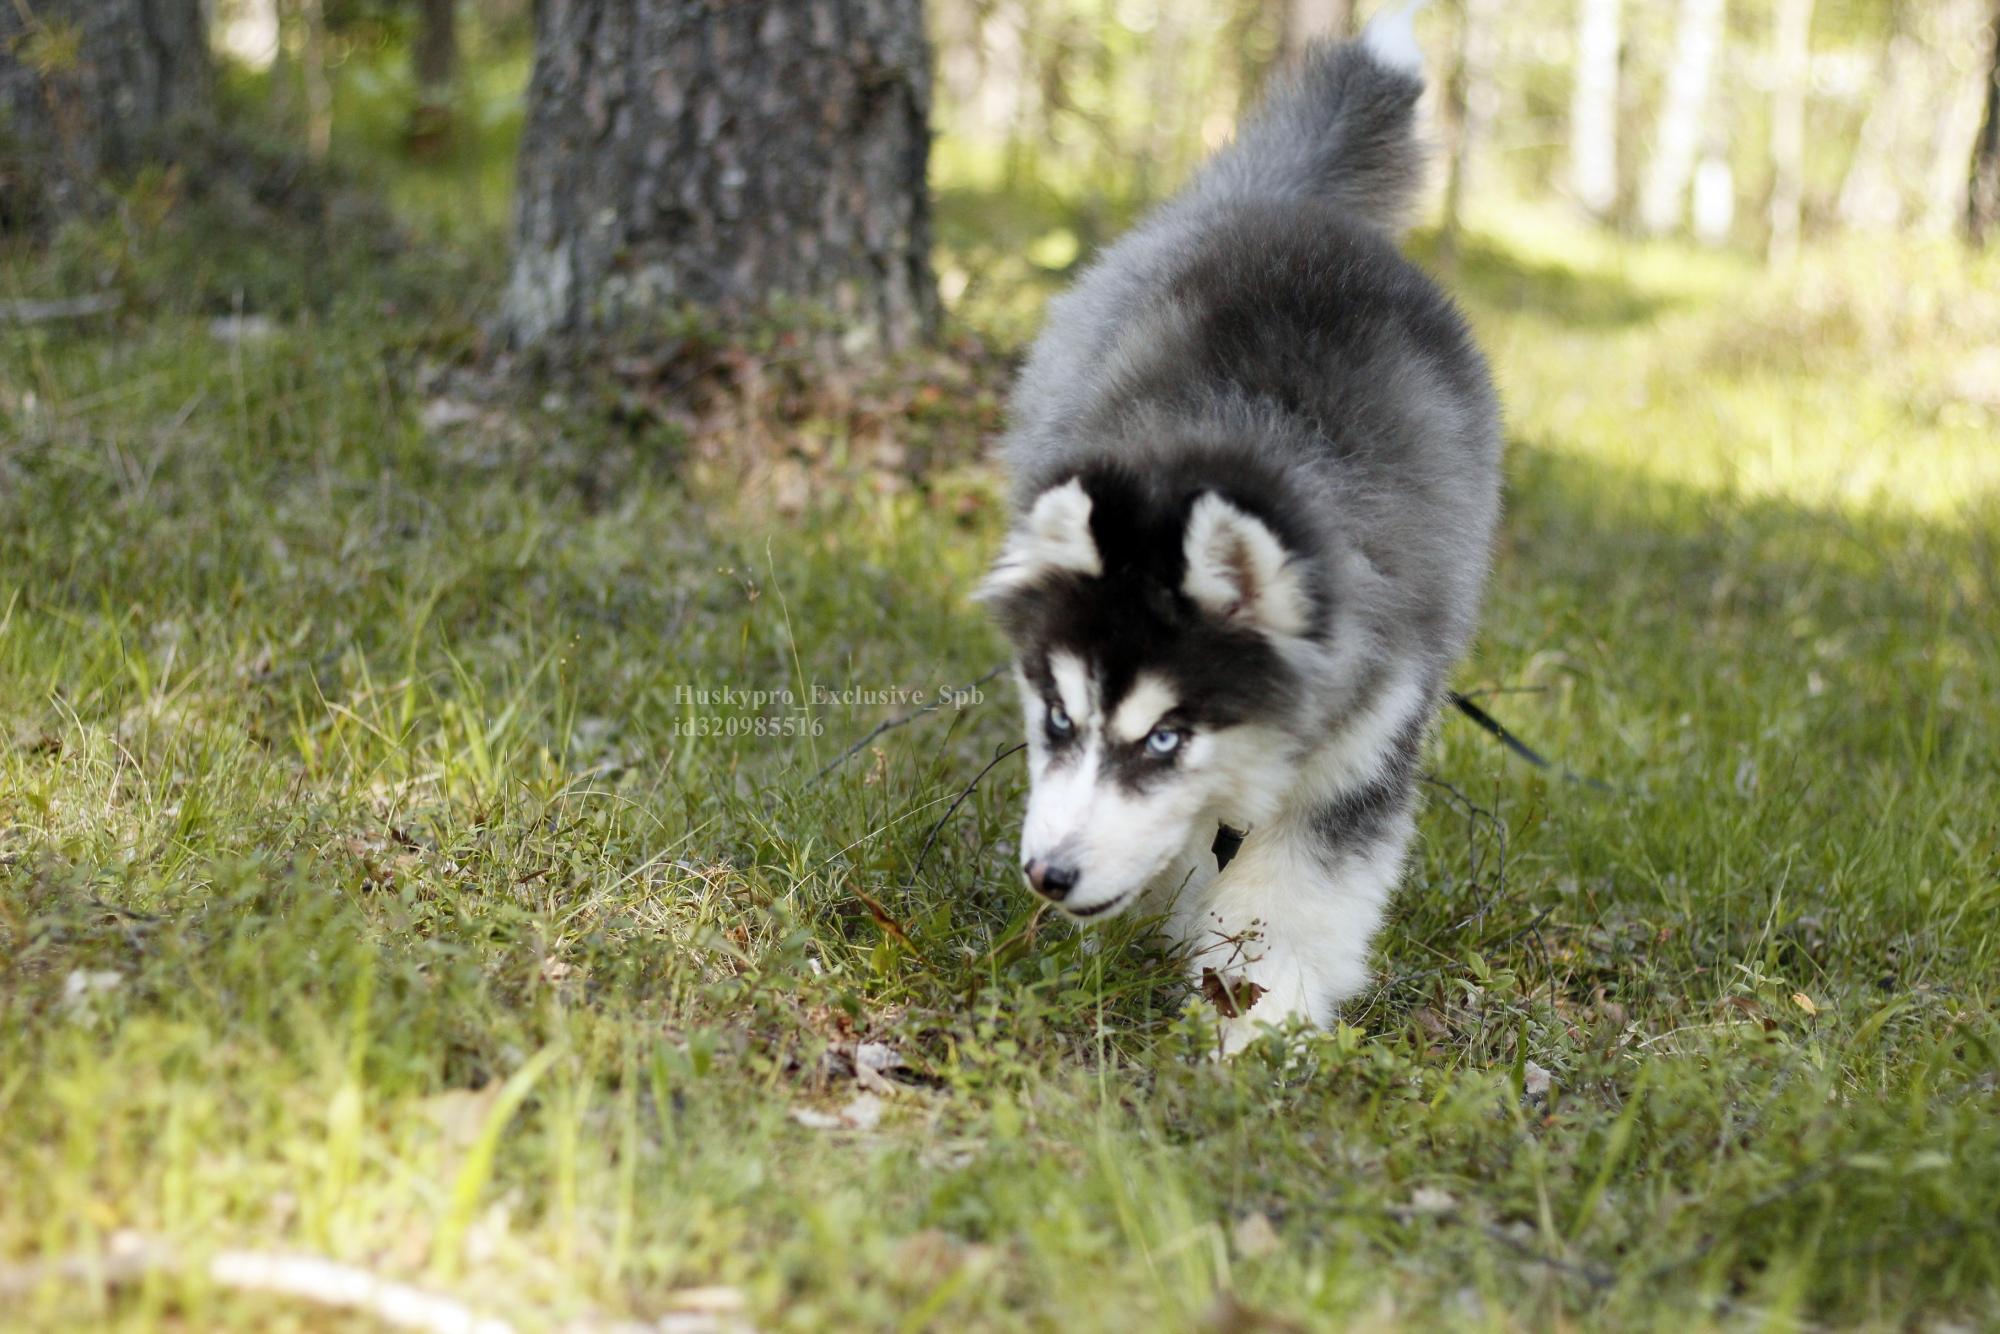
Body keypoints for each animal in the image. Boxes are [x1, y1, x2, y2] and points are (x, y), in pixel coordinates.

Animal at [976, 5, 1496, 1056]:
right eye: (1059, 719)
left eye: (1168, 737)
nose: (1048, 877)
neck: (1246, 438)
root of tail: (1286, 201)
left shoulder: (1370, 739)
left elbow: (1296, 895)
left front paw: (1258, 1021)